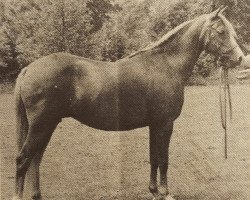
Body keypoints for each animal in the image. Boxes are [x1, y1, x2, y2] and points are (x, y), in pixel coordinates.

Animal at [12, 6, 243, 200]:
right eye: (221, 31)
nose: (240, 58)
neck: (166, 66)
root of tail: (29, 69)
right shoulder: (165, 124)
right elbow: (164, 159)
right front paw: (165, 193)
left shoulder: (154, 125)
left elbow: (154, 158)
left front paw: (154, 191)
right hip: (42, 125)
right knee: (23, 159)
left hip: (48, 125)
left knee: (35, 159)